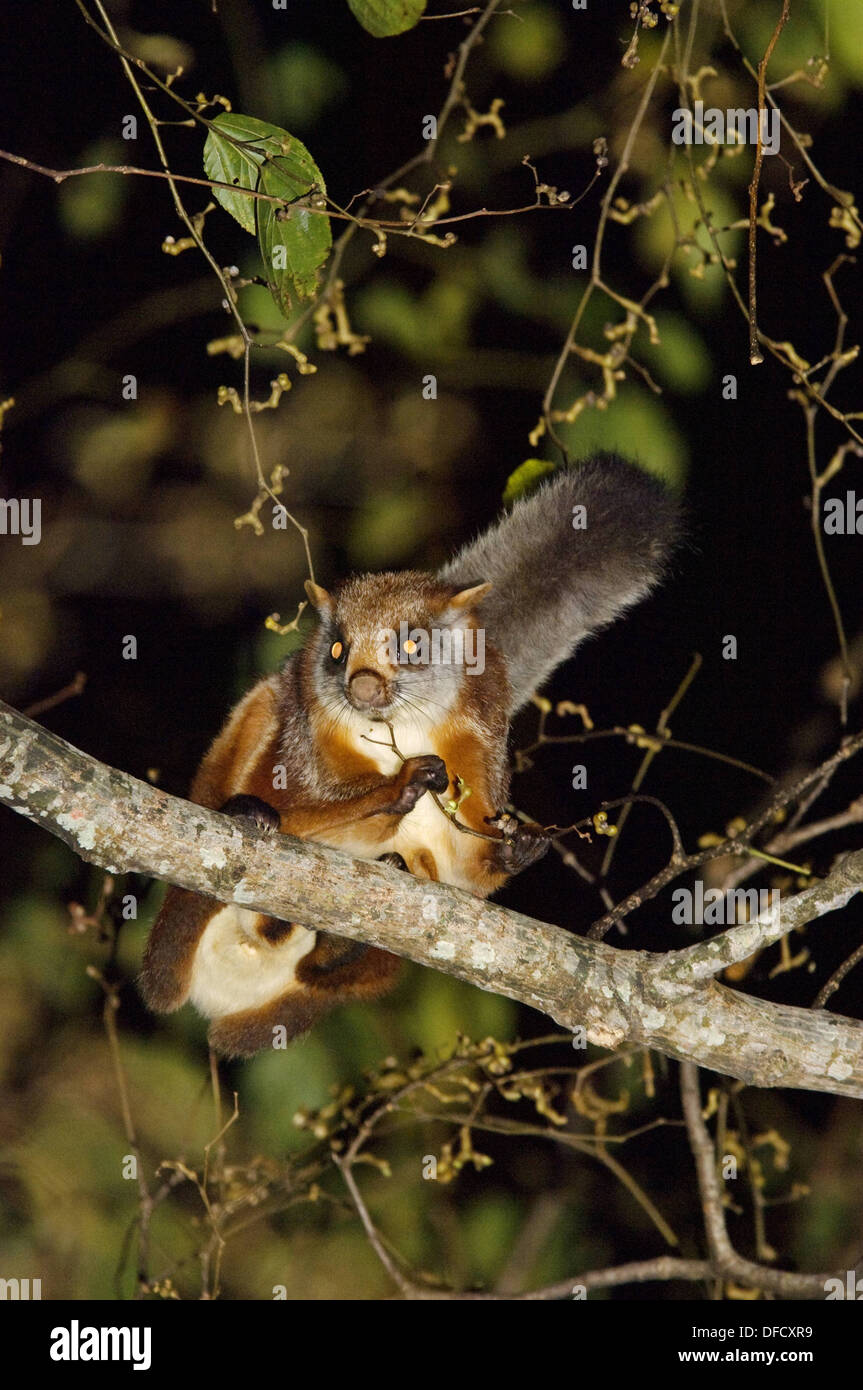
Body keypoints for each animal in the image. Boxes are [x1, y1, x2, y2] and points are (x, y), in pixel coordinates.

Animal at [140, 454, 678, 1057]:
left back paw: (337, 948)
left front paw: (513, 850)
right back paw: (249, 818)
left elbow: (467, 879)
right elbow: (304, 812)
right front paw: (393, 791)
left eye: (412, 645)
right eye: (337, 650)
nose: (364, 685)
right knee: (261, 718)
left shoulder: (480, 733)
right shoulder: (306, 723)